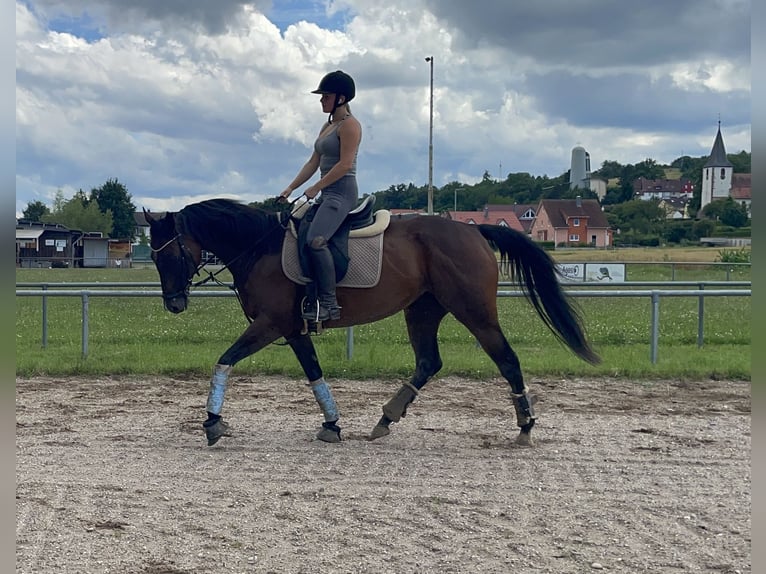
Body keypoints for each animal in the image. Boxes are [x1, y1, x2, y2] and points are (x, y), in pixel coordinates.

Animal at [144, 199, 600, 450]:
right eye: (154, 256)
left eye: (169, 254)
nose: (174, 304)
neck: (260, 248)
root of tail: (473, 232)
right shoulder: (291, 329)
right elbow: (314, 374)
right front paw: (331, 423)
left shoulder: (271, 324)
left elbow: (224, 360)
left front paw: (212, 422)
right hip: (423, 310)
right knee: (428, 362)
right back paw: (386, 419)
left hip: (475, 312)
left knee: (507, 360)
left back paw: (525, 427)